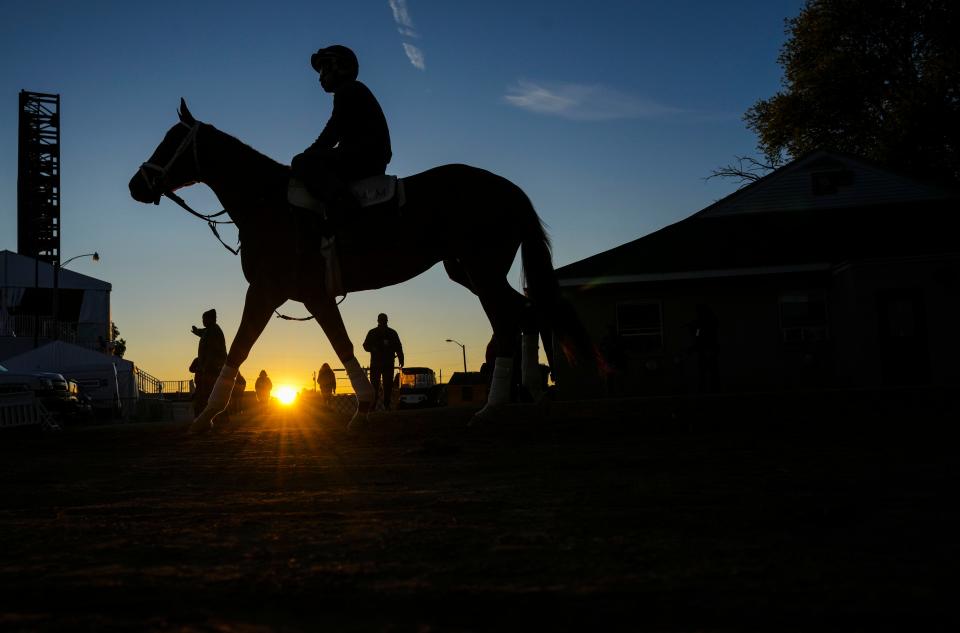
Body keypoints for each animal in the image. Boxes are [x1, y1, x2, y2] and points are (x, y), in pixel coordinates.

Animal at [127, 100, 592, 430]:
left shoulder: (267, 290)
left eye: (171, 141)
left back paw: (493, 407)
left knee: (507, 322)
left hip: (482, 270)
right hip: (467, 270)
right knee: (526, 311)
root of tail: (508, 188)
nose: (136, 184)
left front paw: (209, 413)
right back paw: (532, 392)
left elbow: (243, 346)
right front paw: (365, 405)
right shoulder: (309, 295)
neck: (270, 205)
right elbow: (343, 343)